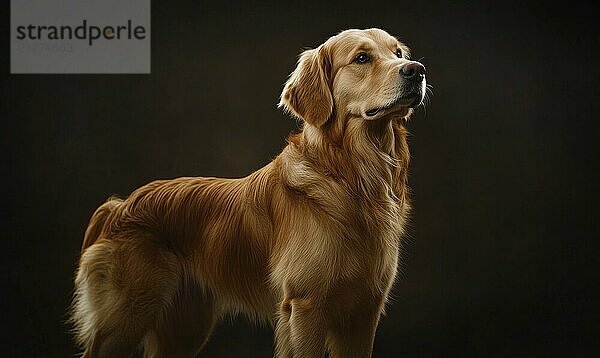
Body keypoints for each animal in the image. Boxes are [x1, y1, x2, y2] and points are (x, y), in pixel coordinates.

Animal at [70, 28, 426, 358]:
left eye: (397, 52)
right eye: (362, 58)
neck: (352, 177)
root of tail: (119, 206)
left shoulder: (363, 313)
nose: (417, 70)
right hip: (126, 318)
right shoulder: (306, 306)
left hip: (184, 328)